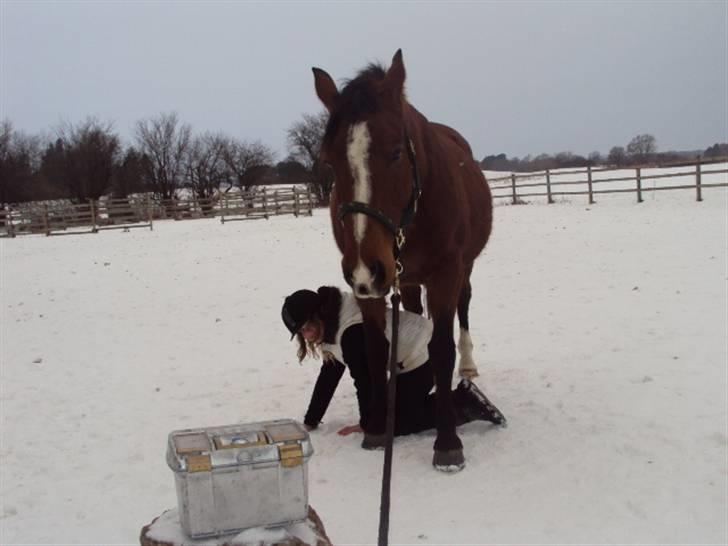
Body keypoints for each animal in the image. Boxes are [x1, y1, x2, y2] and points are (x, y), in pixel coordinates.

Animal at [310, 50, 492, 468]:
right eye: (329, 161)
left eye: (395, 152)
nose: (367, 267)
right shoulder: (370, 283)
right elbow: (377, 350)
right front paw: (378, 428)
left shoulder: (446, 273)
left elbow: (441, 349)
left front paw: (447, 443)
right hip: (403, 280)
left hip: (461, 270)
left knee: (463, 309)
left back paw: (468, 367)